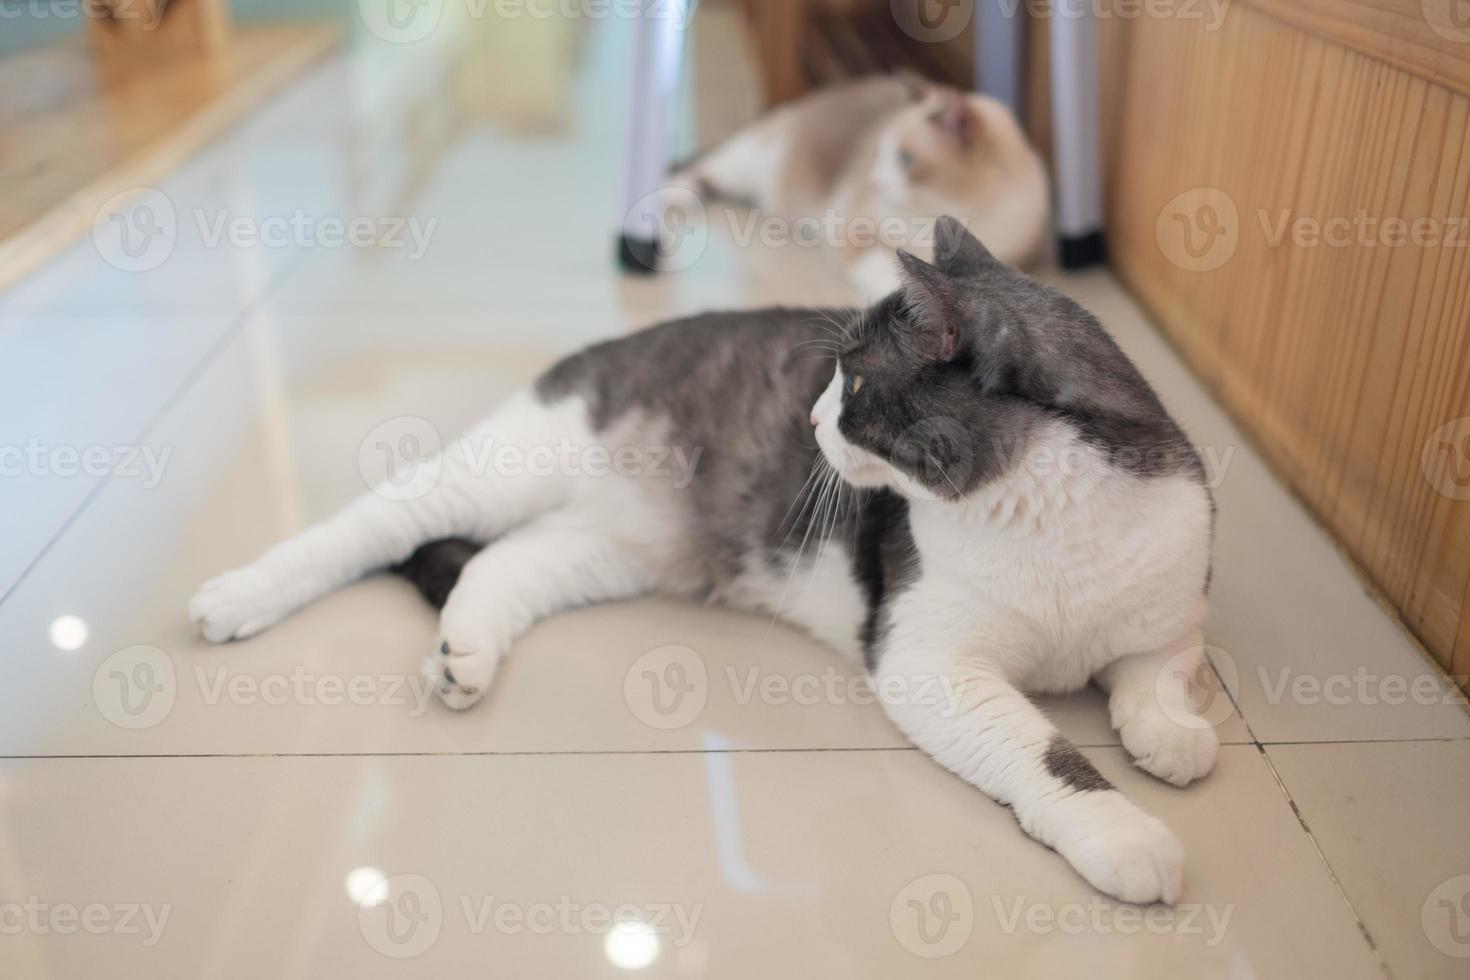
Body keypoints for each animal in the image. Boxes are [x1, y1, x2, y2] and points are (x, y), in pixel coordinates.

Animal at [192, 220, 1217, 905]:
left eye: (851, 383)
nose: (809, 416)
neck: (1045, 519)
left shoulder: (1171, 608)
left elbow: (1160, 670)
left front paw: (1173, 734)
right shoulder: (928, 661)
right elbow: (1040, 748)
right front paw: (1125, 832)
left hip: (609, 549)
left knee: (504, 565)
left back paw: (464, 657)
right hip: (511, 465)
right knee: (374, 522)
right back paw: (237, 595)